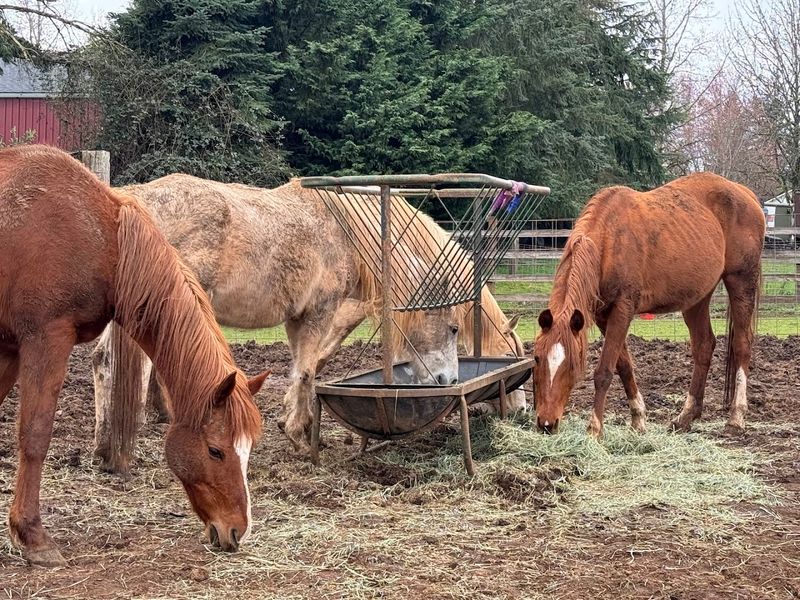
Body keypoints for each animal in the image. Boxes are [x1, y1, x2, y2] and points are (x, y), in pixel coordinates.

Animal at [0, 146, 268, 566]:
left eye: (248, 450)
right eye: (216, 450)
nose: (237, 531)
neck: (103, 240)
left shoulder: (10, 347)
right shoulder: (46, 340)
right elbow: (35, 435)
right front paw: (32, 536)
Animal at [92, 175, 525, 473]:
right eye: (453, 329)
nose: (449, 381)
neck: (348, 233)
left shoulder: (297, 318)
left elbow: (308, 367)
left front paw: (295, 424)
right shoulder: (323, 311)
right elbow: (307, 370)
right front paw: (299, 436)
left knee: (103, 362)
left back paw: (107, 448)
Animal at [532, 172, 765, 437]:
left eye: (572, 364)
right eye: (537, 358)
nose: (546, 423)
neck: (609, 241)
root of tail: (745, 193)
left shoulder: (623, 310)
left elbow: (604, 371)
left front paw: (594, 429)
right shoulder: (603, 315)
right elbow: (624, 366)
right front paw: (638, 419)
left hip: (741, 281)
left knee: (742, 345)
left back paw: (736, 416)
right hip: (697, 298)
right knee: (704, 346)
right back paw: (685, 417)